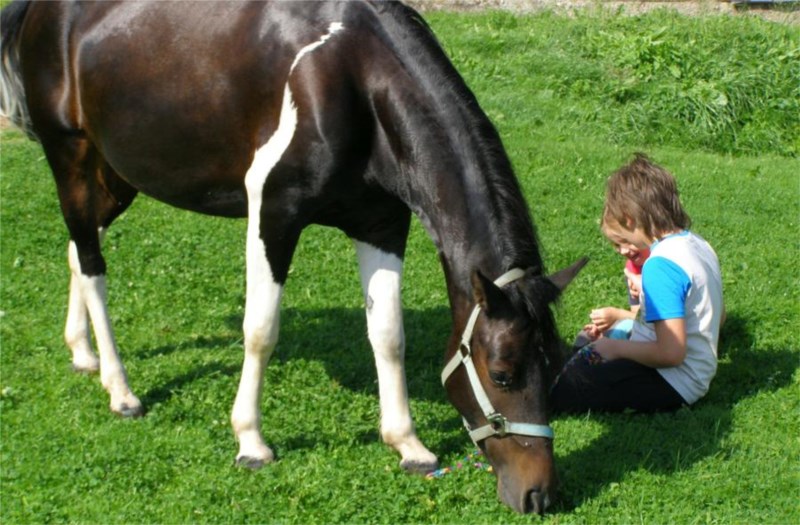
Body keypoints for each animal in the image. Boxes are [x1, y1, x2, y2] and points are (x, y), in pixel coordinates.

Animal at [3, 0, 584, 512]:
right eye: (502, 373)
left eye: (555, 364)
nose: (539, 494)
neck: (351, 75)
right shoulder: (273, 213)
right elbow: (260, 331)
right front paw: (251, 442)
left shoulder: (381, 225)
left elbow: (387, 335)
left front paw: (408, 444)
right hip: (71, 159)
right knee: (92, 265)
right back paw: (119, 388)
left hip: (116, 174)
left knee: (77, 250)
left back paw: (82, 352)